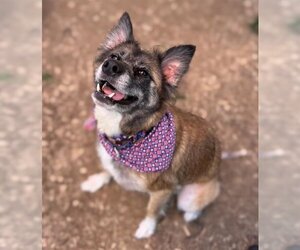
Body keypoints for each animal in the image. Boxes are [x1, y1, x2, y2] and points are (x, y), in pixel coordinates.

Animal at [81, 12, 220, 238]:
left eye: (142, 73)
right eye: (114, 57)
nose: (110, 66)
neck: (130, 138)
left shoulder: (162, 190)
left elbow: (152, 209)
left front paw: (147, 227)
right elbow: (106, 170)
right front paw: (96, 180)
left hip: (190, 197)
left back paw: (191, 215)